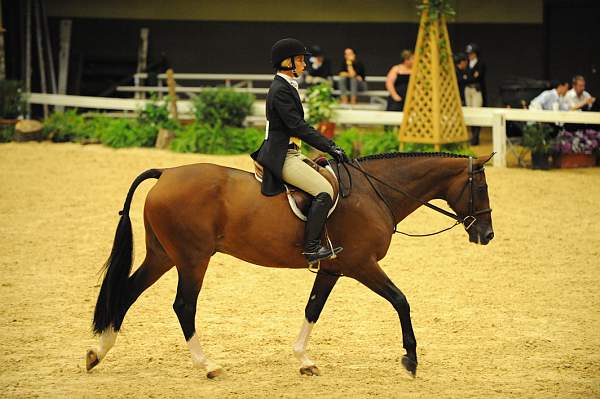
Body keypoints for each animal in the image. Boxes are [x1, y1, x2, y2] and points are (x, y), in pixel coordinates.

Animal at [86, 152, 494, 380]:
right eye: (482, 189)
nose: (487, 235)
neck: (373, 192)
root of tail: (167, 172)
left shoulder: (332, 268)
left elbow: (313, 309)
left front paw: (304, 361)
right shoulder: (362, 264)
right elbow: (401, 300)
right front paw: (410, 359)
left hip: (163, 255)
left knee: (127, 292)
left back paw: (98, 352)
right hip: (192, 259)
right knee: (184, 306)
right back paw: (208, 365)